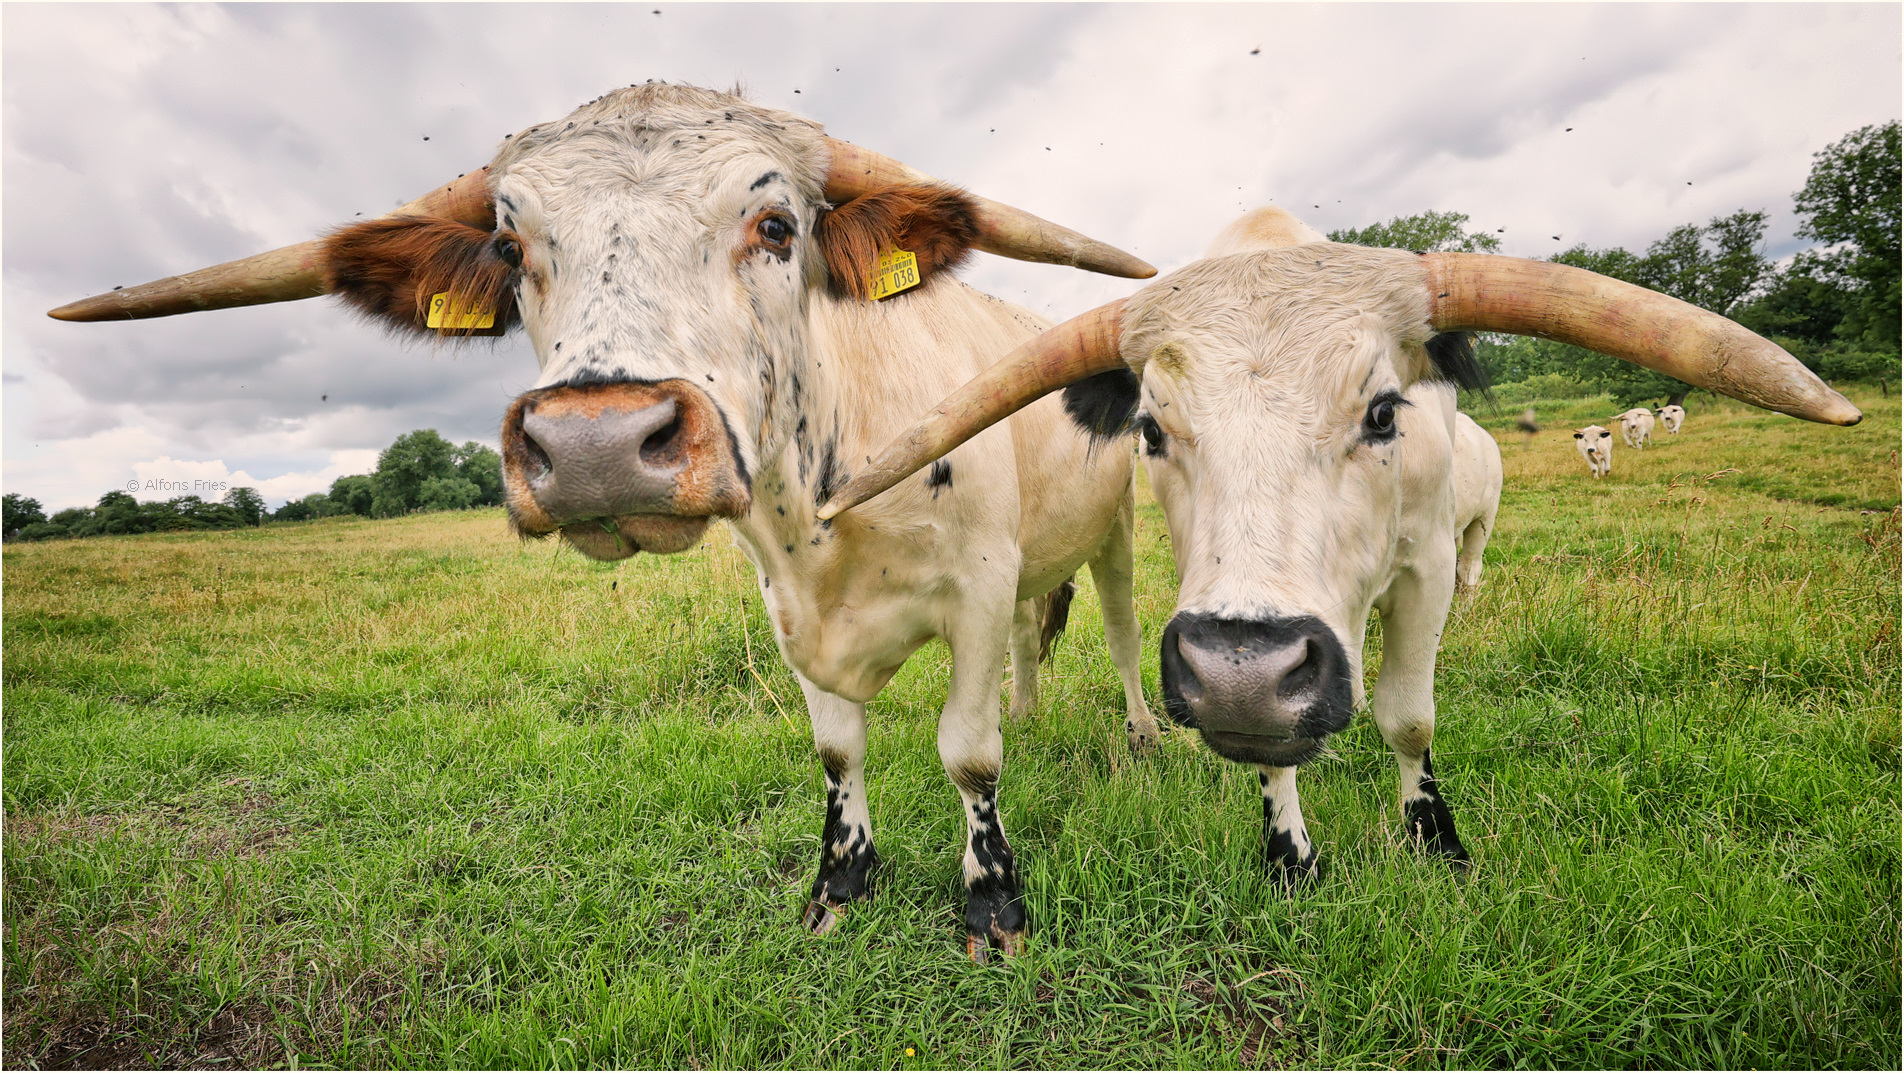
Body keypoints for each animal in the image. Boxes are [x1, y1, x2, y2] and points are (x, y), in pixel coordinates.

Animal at [52, 79, 1165, 958]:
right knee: (1032, 634)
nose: (596, 445)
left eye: (776, 227)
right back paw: (1035, 707)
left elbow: (966, 750)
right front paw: (839, 886)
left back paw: (1144, 732)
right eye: (510, 246)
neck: (825, 515)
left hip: (1114, 533)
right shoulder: (791, 609)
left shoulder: (972, 584)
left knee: (1114, 634)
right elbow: (838, 750)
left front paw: (993, 905)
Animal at [814, 205, 1858, 882]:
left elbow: (1409, 718)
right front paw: (1290, 854)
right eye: (1151, 427)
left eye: (1384, 410)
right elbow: (1278, 751)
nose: (1239, 670)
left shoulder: (1426, 567)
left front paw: (1433, 838)